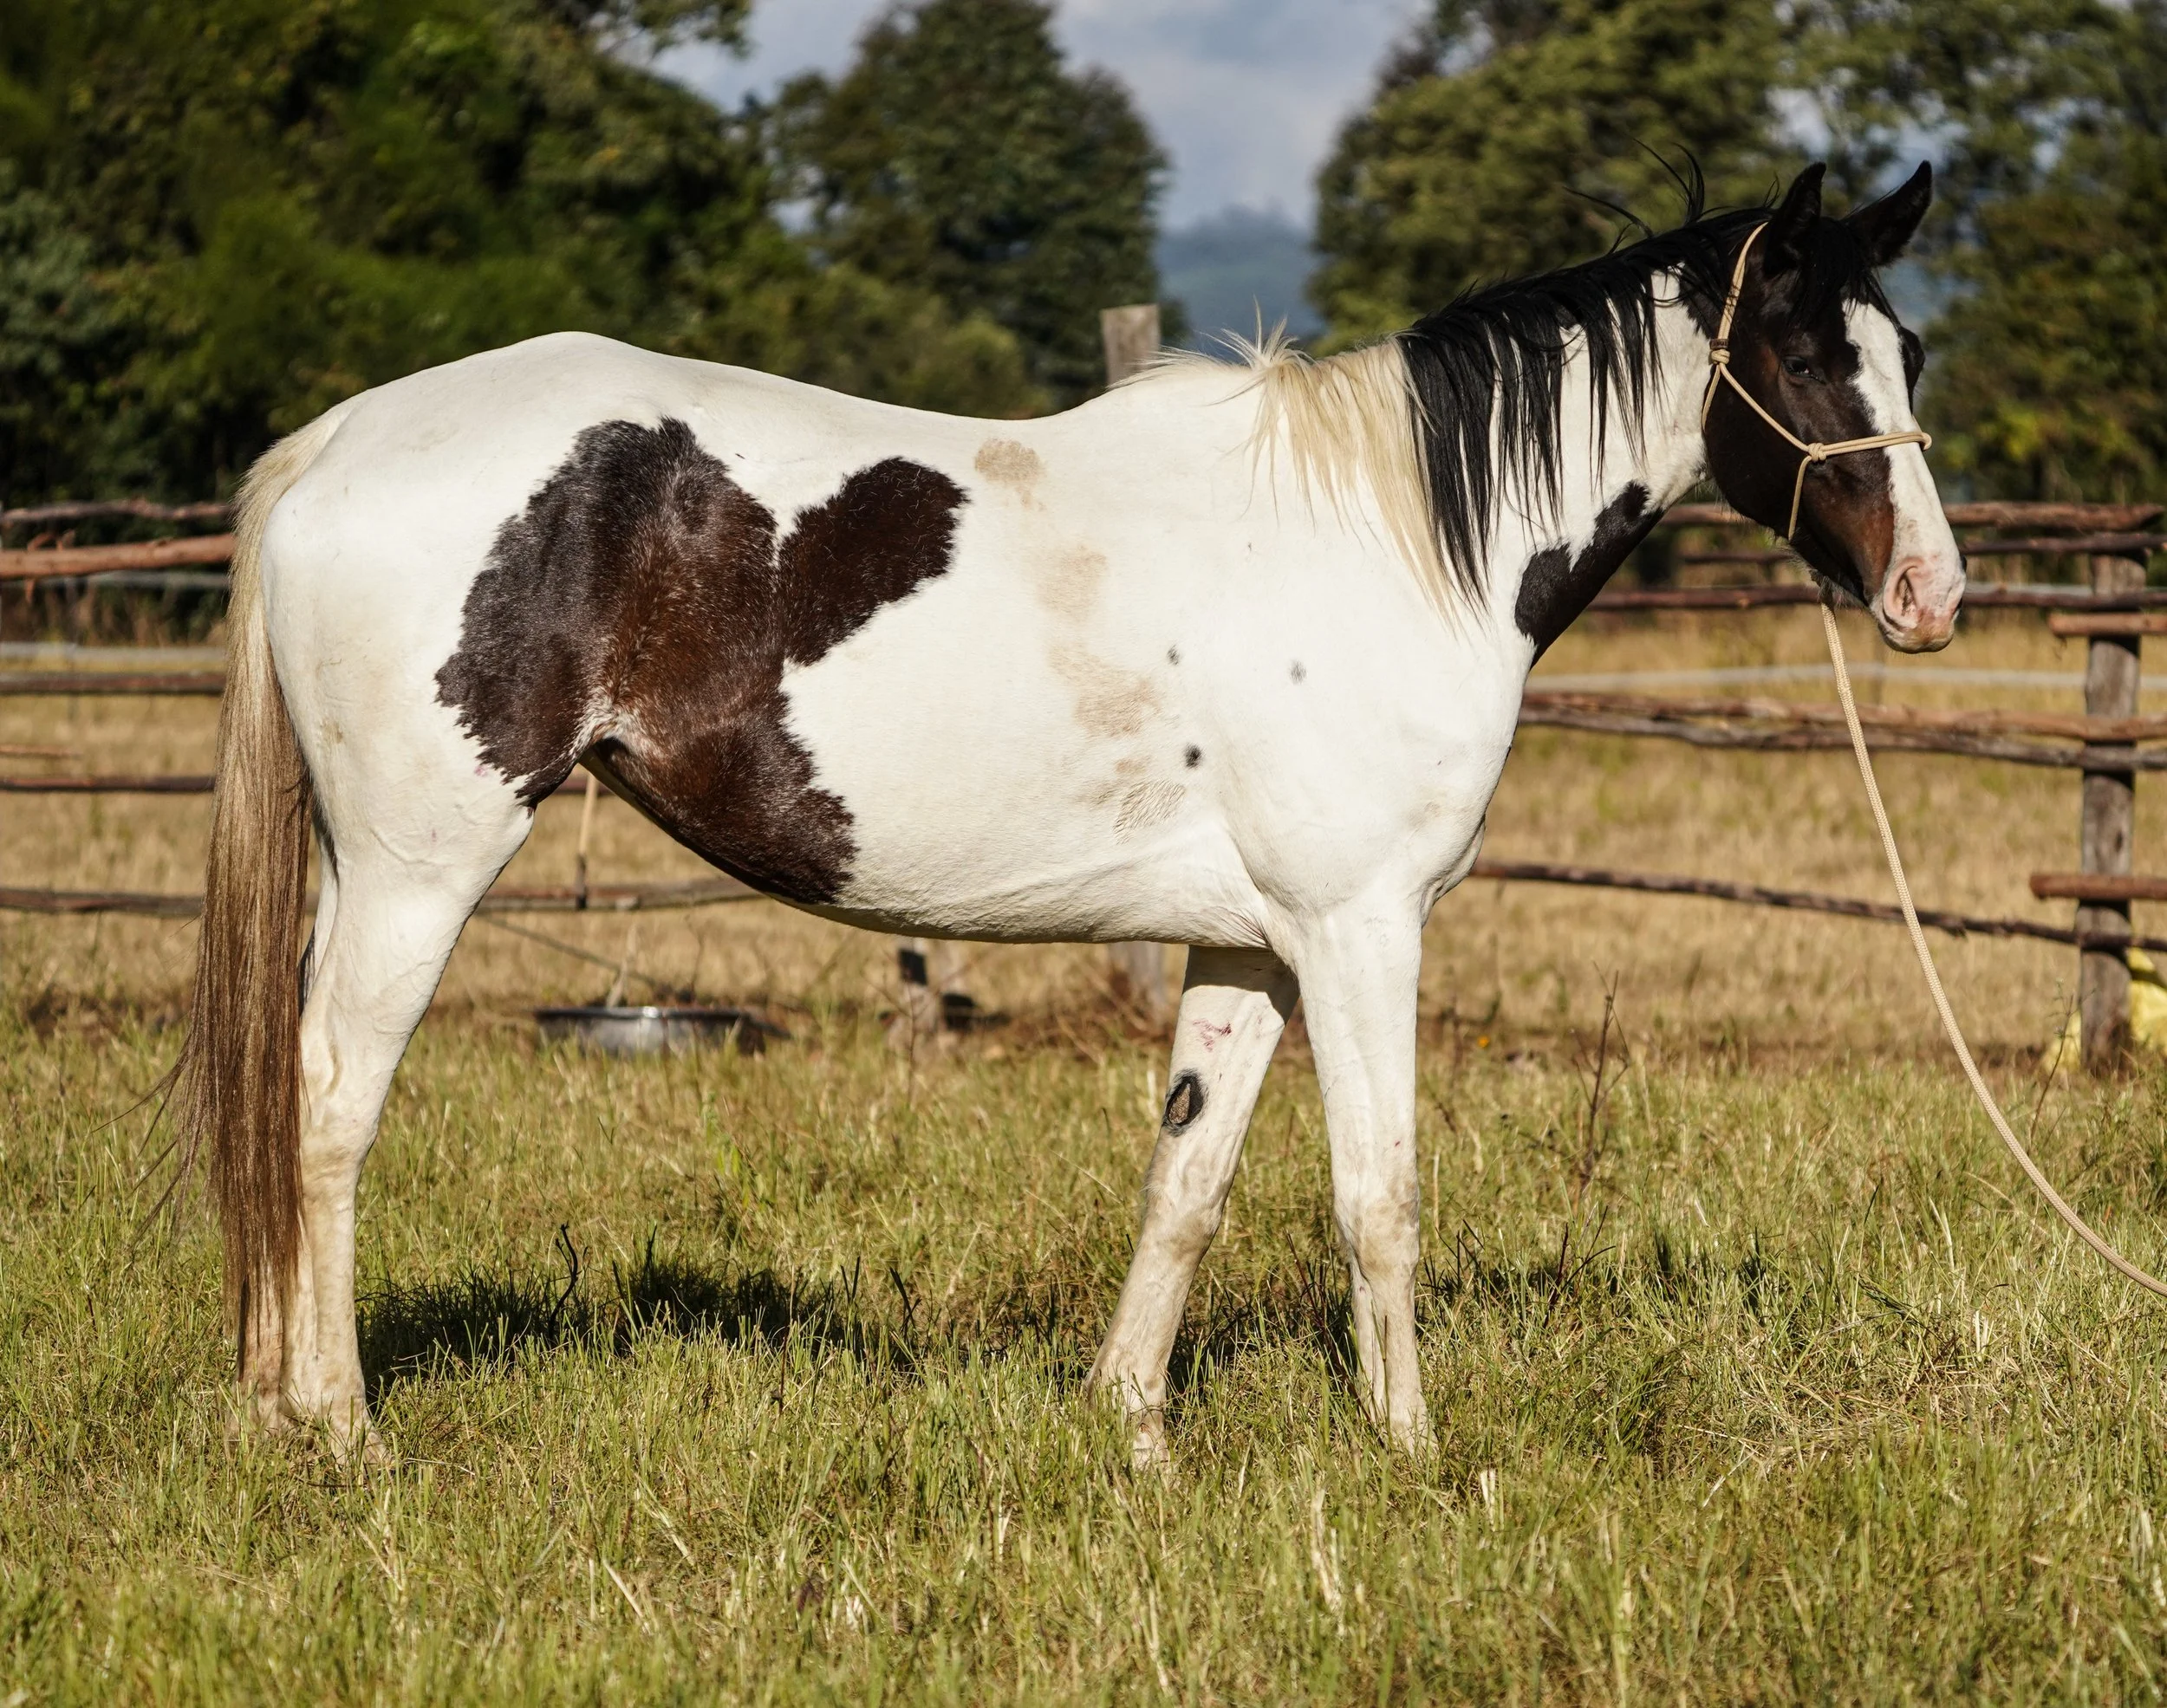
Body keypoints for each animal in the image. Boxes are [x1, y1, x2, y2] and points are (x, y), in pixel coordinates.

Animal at [173, 161, 1962, 1463]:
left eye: (1914, 353)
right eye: (1808, 356)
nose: (1933, 597)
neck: (1392, 543)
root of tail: (338, 440)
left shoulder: (1253, 950)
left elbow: (1189, 1183)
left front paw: (1136, 1430)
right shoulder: (1361, 931)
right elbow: (1379, 1197)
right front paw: (1413, 1453)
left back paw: (272, 1406)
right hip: (420, 864)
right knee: (327, 1103)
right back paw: (339, 1426)